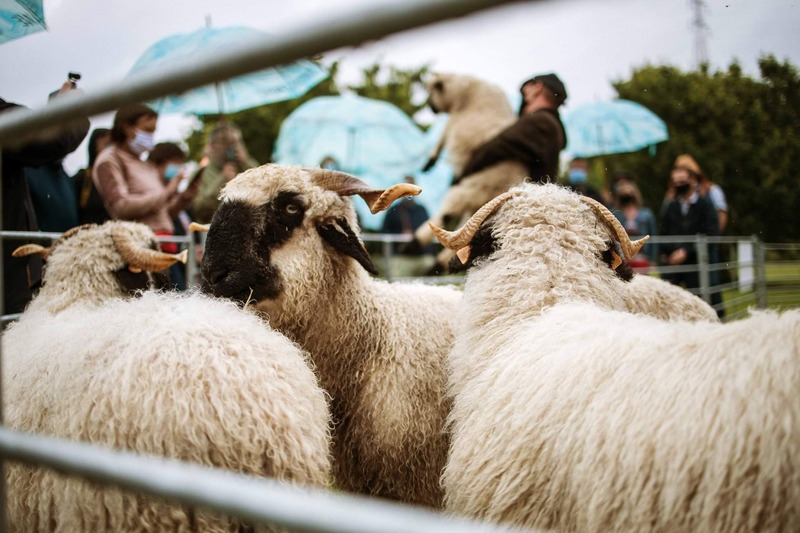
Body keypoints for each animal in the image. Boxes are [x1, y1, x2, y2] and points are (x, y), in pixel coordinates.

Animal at [412, 72, 532, 270]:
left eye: (432, 90)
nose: (432, 108)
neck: (466, 93)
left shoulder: (453, 122)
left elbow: (442, 137)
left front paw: (429, 162)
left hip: (477, 186)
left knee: (449, 212)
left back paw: (414, 244)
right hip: (483, 203)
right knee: (466, 231)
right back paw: (441, 264)